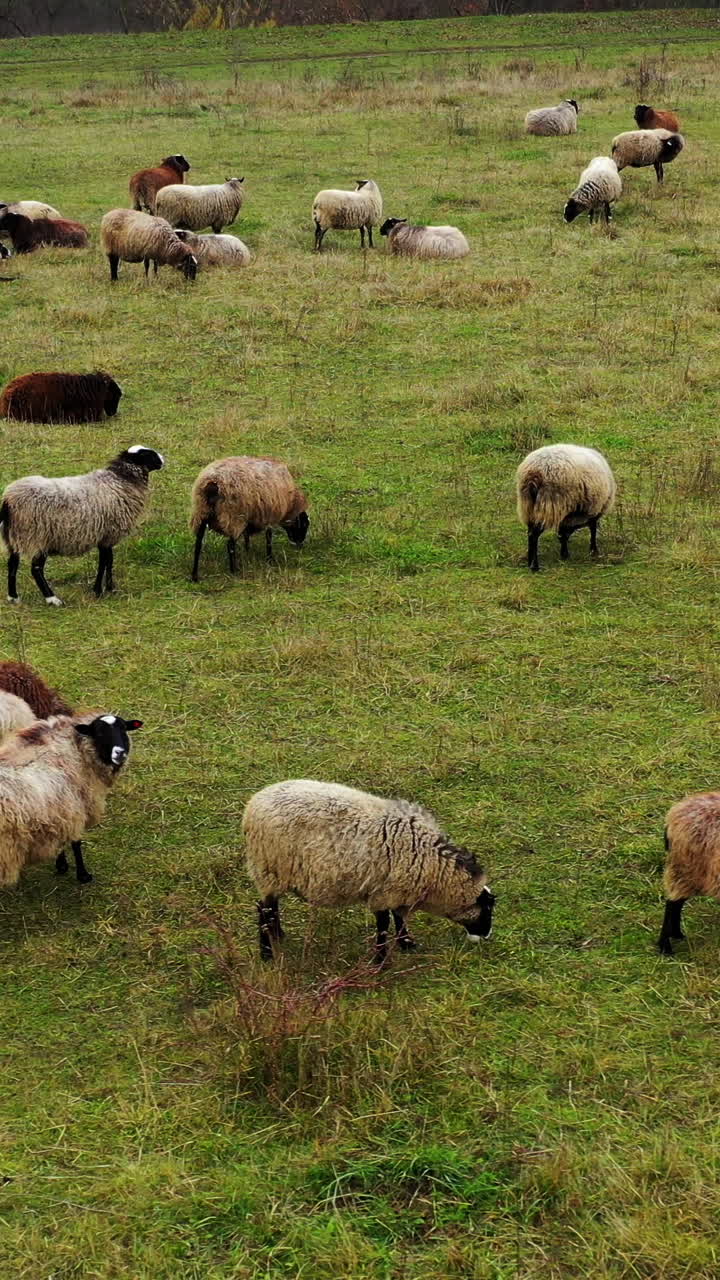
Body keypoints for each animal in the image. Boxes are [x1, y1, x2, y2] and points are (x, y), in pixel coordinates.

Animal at [0, 712, 142, 888]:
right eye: (99, 733)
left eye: (123, 729)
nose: (120, 753)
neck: (76, 751)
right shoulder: (73, 808)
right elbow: (75, 842)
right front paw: (82, 874)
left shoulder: (60, 813)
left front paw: (61, 865)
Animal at [1, 445, 164, 607]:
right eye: (148, 455)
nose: (163, 459)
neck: (121, 480)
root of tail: (8, 500)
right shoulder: (108, 534)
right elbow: (105, 561)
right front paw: (101, 590)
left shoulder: (104, 536)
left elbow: (108, 561)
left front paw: (107, 588)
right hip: (37, 536)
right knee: (36, 569)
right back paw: (52, 599)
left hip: (15, 535)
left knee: (12, 563)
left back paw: (13, 597)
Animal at [243, 779, 496, 963]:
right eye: (486, 910)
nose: (486, 936)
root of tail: (254, 803)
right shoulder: (385, 892)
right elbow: (384, 924)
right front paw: (381, 961)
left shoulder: (398, 893)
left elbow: (399, 918)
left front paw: (406, 943)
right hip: (269, 869)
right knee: (265, 910)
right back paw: (267, 954)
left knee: (270, 908)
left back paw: (278, 936)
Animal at [516, 444, 616, 572]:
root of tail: (534, 472)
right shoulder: (594, 510)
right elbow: (592, 529)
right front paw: (593, 550)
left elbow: (563, 533)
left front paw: (564, 553)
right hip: (549, 503)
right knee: (534, 534)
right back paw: (535, 566)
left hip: (528, 505)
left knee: (529, 533)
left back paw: (530, 561)